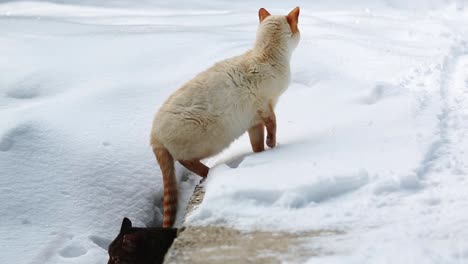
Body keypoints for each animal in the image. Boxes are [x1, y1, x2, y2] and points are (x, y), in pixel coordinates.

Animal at [152, 7, 302, 227]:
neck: (265, 57)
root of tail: (153, 133)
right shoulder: (265, 106)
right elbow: (273, 127)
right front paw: (273, 146)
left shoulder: (254, 121)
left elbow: (257, 145)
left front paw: (261, 157)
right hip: (209, 139)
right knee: (185, 161)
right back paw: (209, 173)